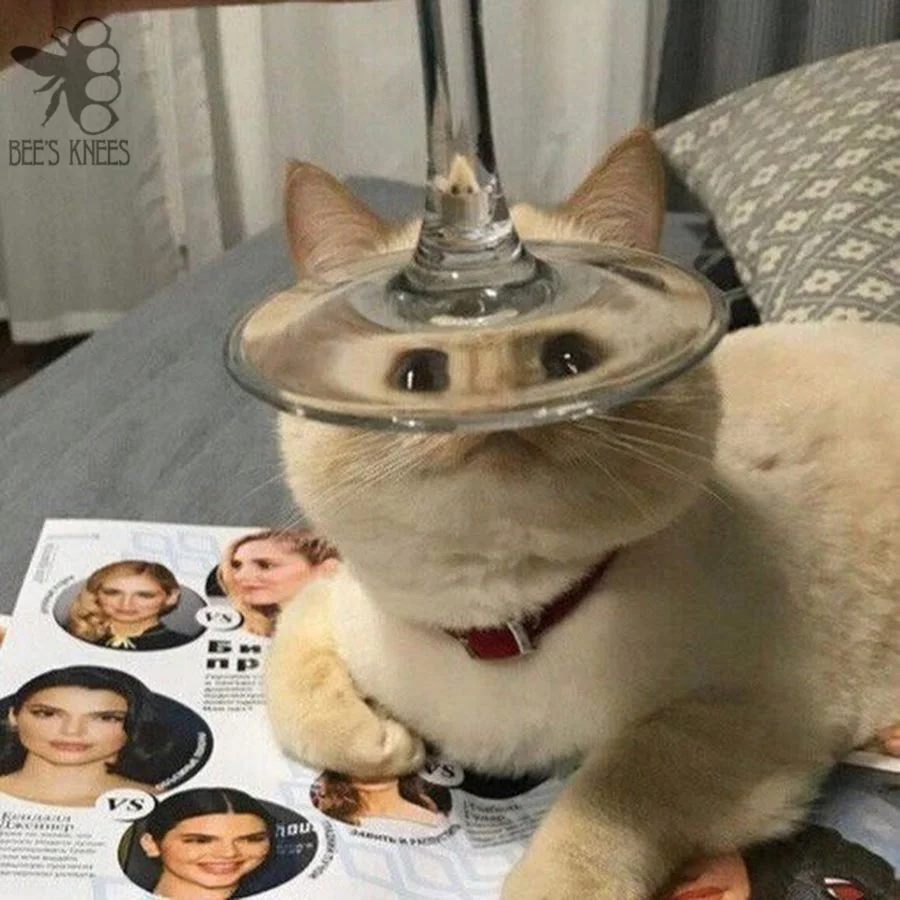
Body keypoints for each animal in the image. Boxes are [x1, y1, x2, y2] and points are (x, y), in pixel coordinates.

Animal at [263, 128, 900, 900]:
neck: (503, 625)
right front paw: (382, 744)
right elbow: (290, 679)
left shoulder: (752, 718)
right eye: (419, 375)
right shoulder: (338, 596)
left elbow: (610, 790)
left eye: (569, 360)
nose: (497, 419)